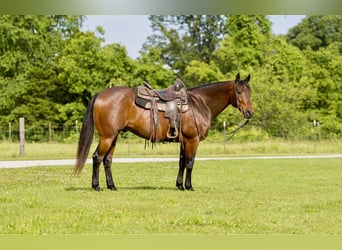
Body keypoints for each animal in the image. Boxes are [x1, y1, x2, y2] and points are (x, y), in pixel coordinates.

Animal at [74, 73, 254, 191]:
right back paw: (96, 186)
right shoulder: (192, 140)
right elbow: (190, 163)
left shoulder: (183, 141)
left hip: (114, 137)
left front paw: (180, 185)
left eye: (250, 91)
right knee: (97, 158)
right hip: (107, 137)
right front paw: (189, 186)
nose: (249, 112)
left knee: (107, 160)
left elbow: (182, 163)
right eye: (239, 91)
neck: (200, 104)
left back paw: (112, 186)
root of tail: (100, 94)